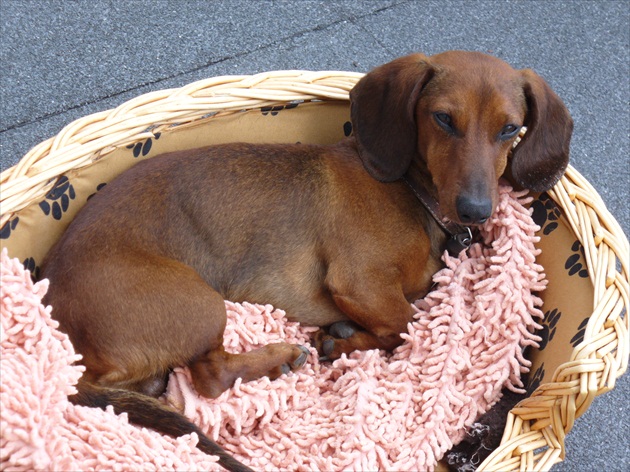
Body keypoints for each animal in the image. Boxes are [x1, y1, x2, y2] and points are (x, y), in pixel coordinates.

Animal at [39, 49, 572, 470]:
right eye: (443, 119)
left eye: (510, 128)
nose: (477, 210)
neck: (410, 190)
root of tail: (68, 344)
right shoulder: (359, 282)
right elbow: (405, 325)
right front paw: (344, 341)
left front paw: (344, 338)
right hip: (200, 303)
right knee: (210, 376)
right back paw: (281, 356)